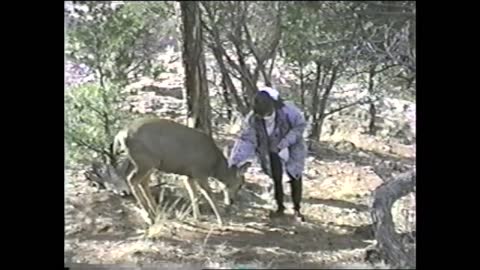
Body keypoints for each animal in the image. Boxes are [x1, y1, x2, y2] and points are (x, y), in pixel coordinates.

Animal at [110, 117, 249, 226]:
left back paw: (155, 211)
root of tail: (121, 135)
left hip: (146, 163)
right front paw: (221, 221)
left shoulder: (188, 175)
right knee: (132, 180)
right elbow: (209, 195)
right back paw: (149, 216)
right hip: (146, 161)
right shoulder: (199, 172)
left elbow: (194, 195)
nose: (232, 201)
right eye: (240, 184)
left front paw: (198, 217)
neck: (214, 165)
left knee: (141, 182)